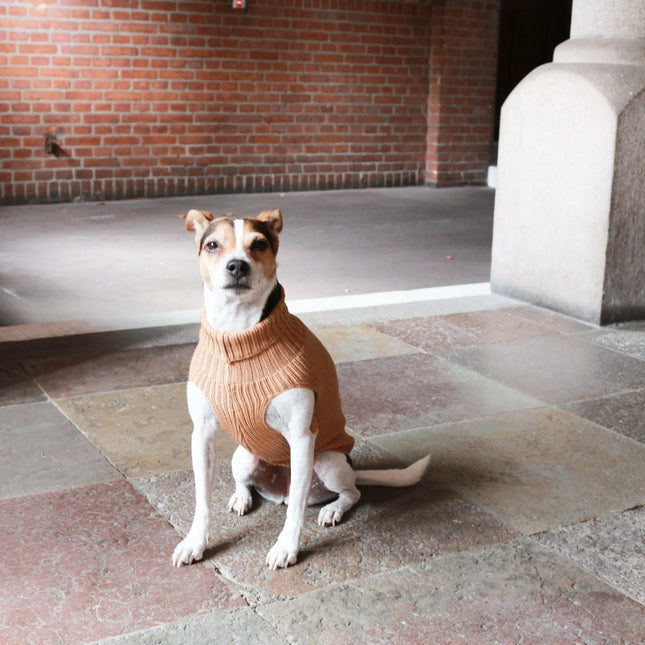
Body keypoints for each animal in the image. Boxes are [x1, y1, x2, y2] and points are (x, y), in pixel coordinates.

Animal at [174, 208, 430, 568]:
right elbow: (202, 502)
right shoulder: (202, 435)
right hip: (244, 456)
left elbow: (295, 510)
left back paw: (333, 509)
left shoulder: (302, 437)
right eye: (212, 245)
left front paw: (286, 548)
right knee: (247, 482)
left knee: (350, 493)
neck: (239, 333)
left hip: (328, 461)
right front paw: (195, 543)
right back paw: (241, 497)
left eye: (259, 244)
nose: (237, 266)